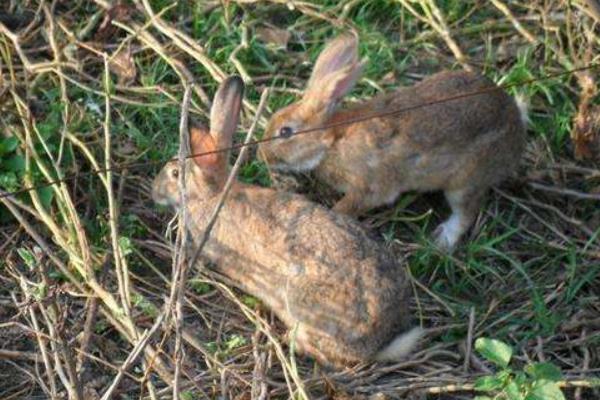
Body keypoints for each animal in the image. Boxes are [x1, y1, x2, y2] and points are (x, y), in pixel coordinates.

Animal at [260, 36, 528, 252]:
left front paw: (332, 219)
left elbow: (349, 206)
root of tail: (516, 134)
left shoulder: (366, 187)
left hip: (465, 181)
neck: (331, 140)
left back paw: (442, 240)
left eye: (285, 132)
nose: (262, 155)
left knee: (466, 212)